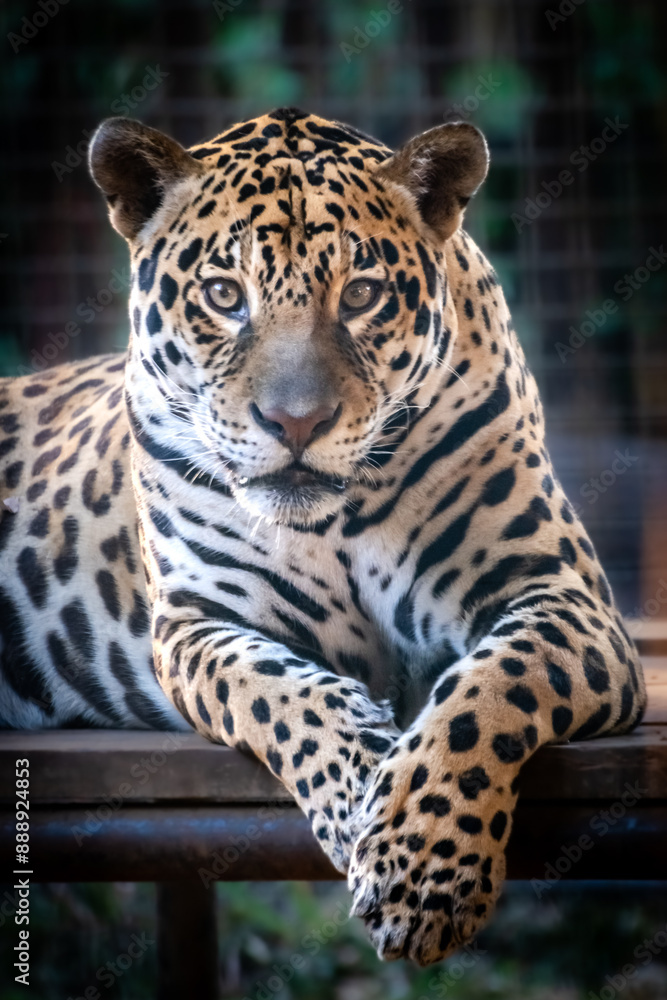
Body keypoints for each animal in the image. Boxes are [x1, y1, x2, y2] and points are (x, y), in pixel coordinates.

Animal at [0, 107, 645, 966]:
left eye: (362, 293)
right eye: (224, 294)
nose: (295, 422)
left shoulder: (557, 593)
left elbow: (487, 691)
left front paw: (420, 863)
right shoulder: (198, 624)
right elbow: (278, 695)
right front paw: (361, 793)